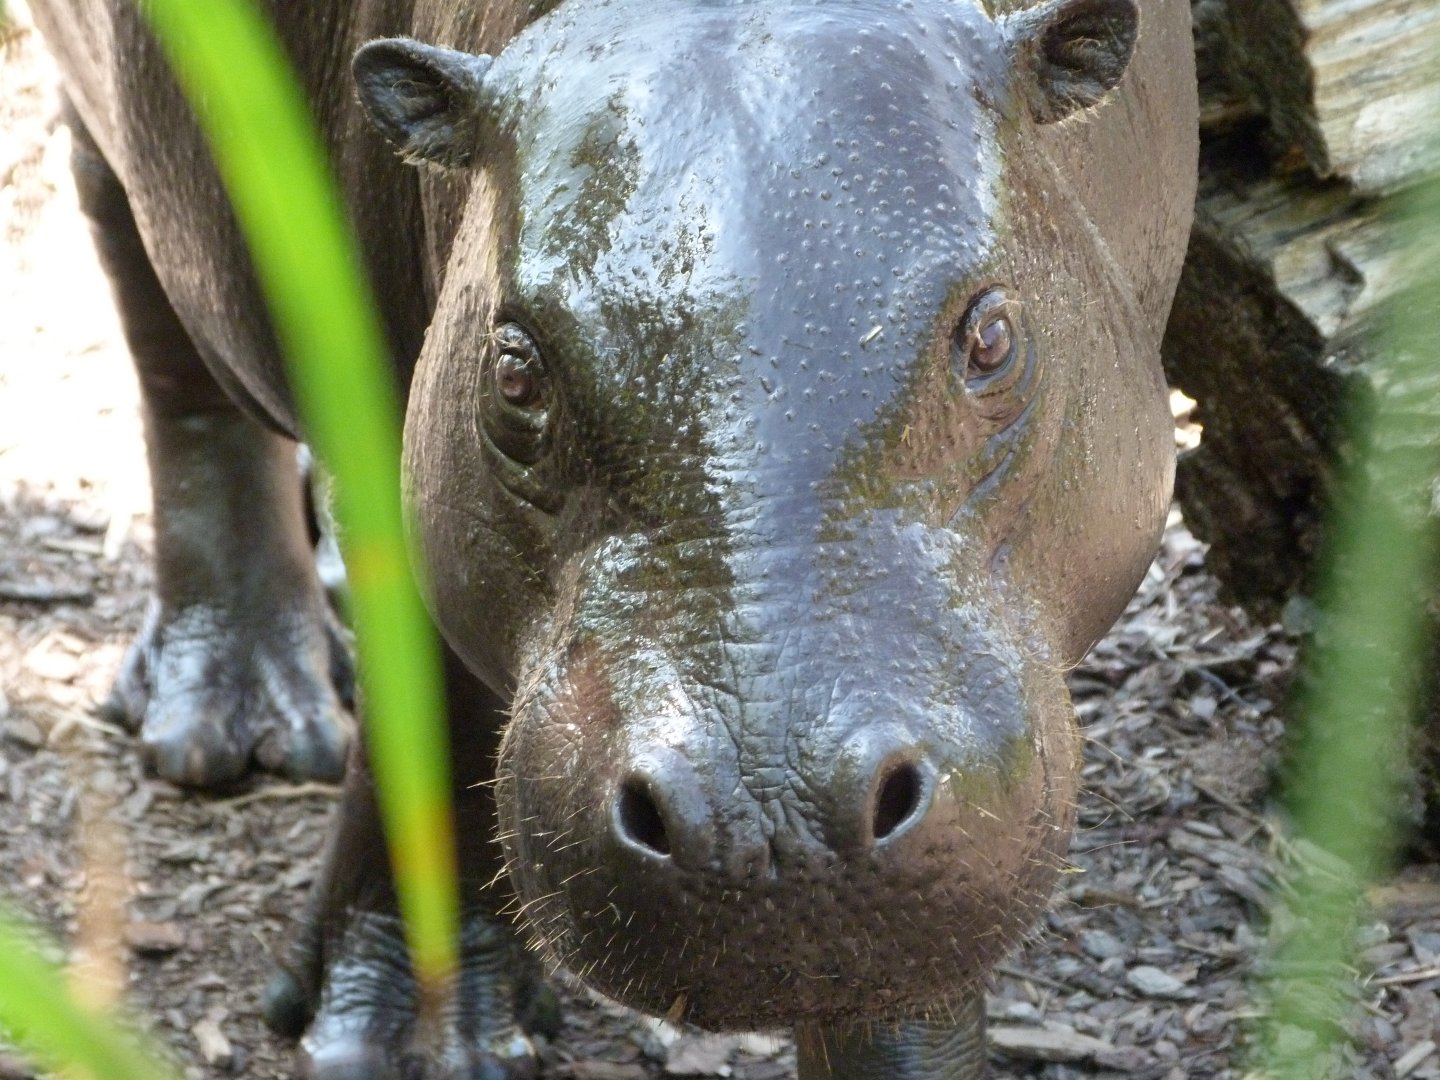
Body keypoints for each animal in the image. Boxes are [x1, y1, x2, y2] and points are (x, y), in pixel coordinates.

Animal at [28, 0, 1197, 1075]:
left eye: (991, 334)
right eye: (513, 368)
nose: (762, 816)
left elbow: (905, 976)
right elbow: (435, 692)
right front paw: (405, 1037)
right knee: (153, 313)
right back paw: (234, 718)